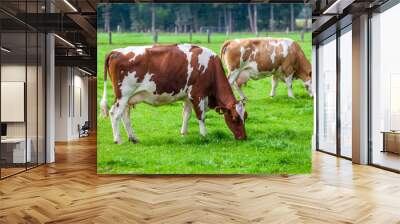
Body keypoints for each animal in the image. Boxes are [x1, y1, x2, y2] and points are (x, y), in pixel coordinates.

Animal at [100, 43, 247, 144]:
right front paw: (204, 135)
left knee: (125, 116)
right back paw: (118, 140)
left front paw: (184, 133)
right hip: (123, 95)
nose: (244, 137)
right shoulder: (197, 94)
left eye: (245, 117)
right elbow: (201, 116)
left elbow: (186, 115)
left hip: (129, 98)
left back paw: (133, 138)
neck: (211, 67)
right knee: (115, 114)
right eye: (235, 118)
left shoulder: (188, 97)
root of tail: (116, 51)